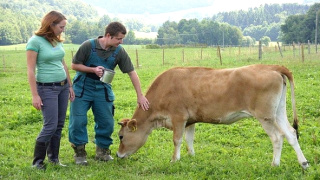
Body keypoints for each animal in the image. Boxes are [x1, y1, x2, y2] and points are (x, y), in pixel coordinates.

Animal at [116, 64, 308, 169]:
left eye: (121, 136)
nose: (118, 155)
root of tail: (271, 66)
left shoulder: (178, 117)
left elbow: (177, 140)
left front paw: (174, 160)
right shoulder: (190, 120)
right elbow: (189, 139)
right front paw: (191, 156)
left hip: (265, 116)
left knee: (277, 137)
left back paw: (274, 164)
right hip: (278, 112)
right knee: (291, 133)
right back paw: (304, 163)